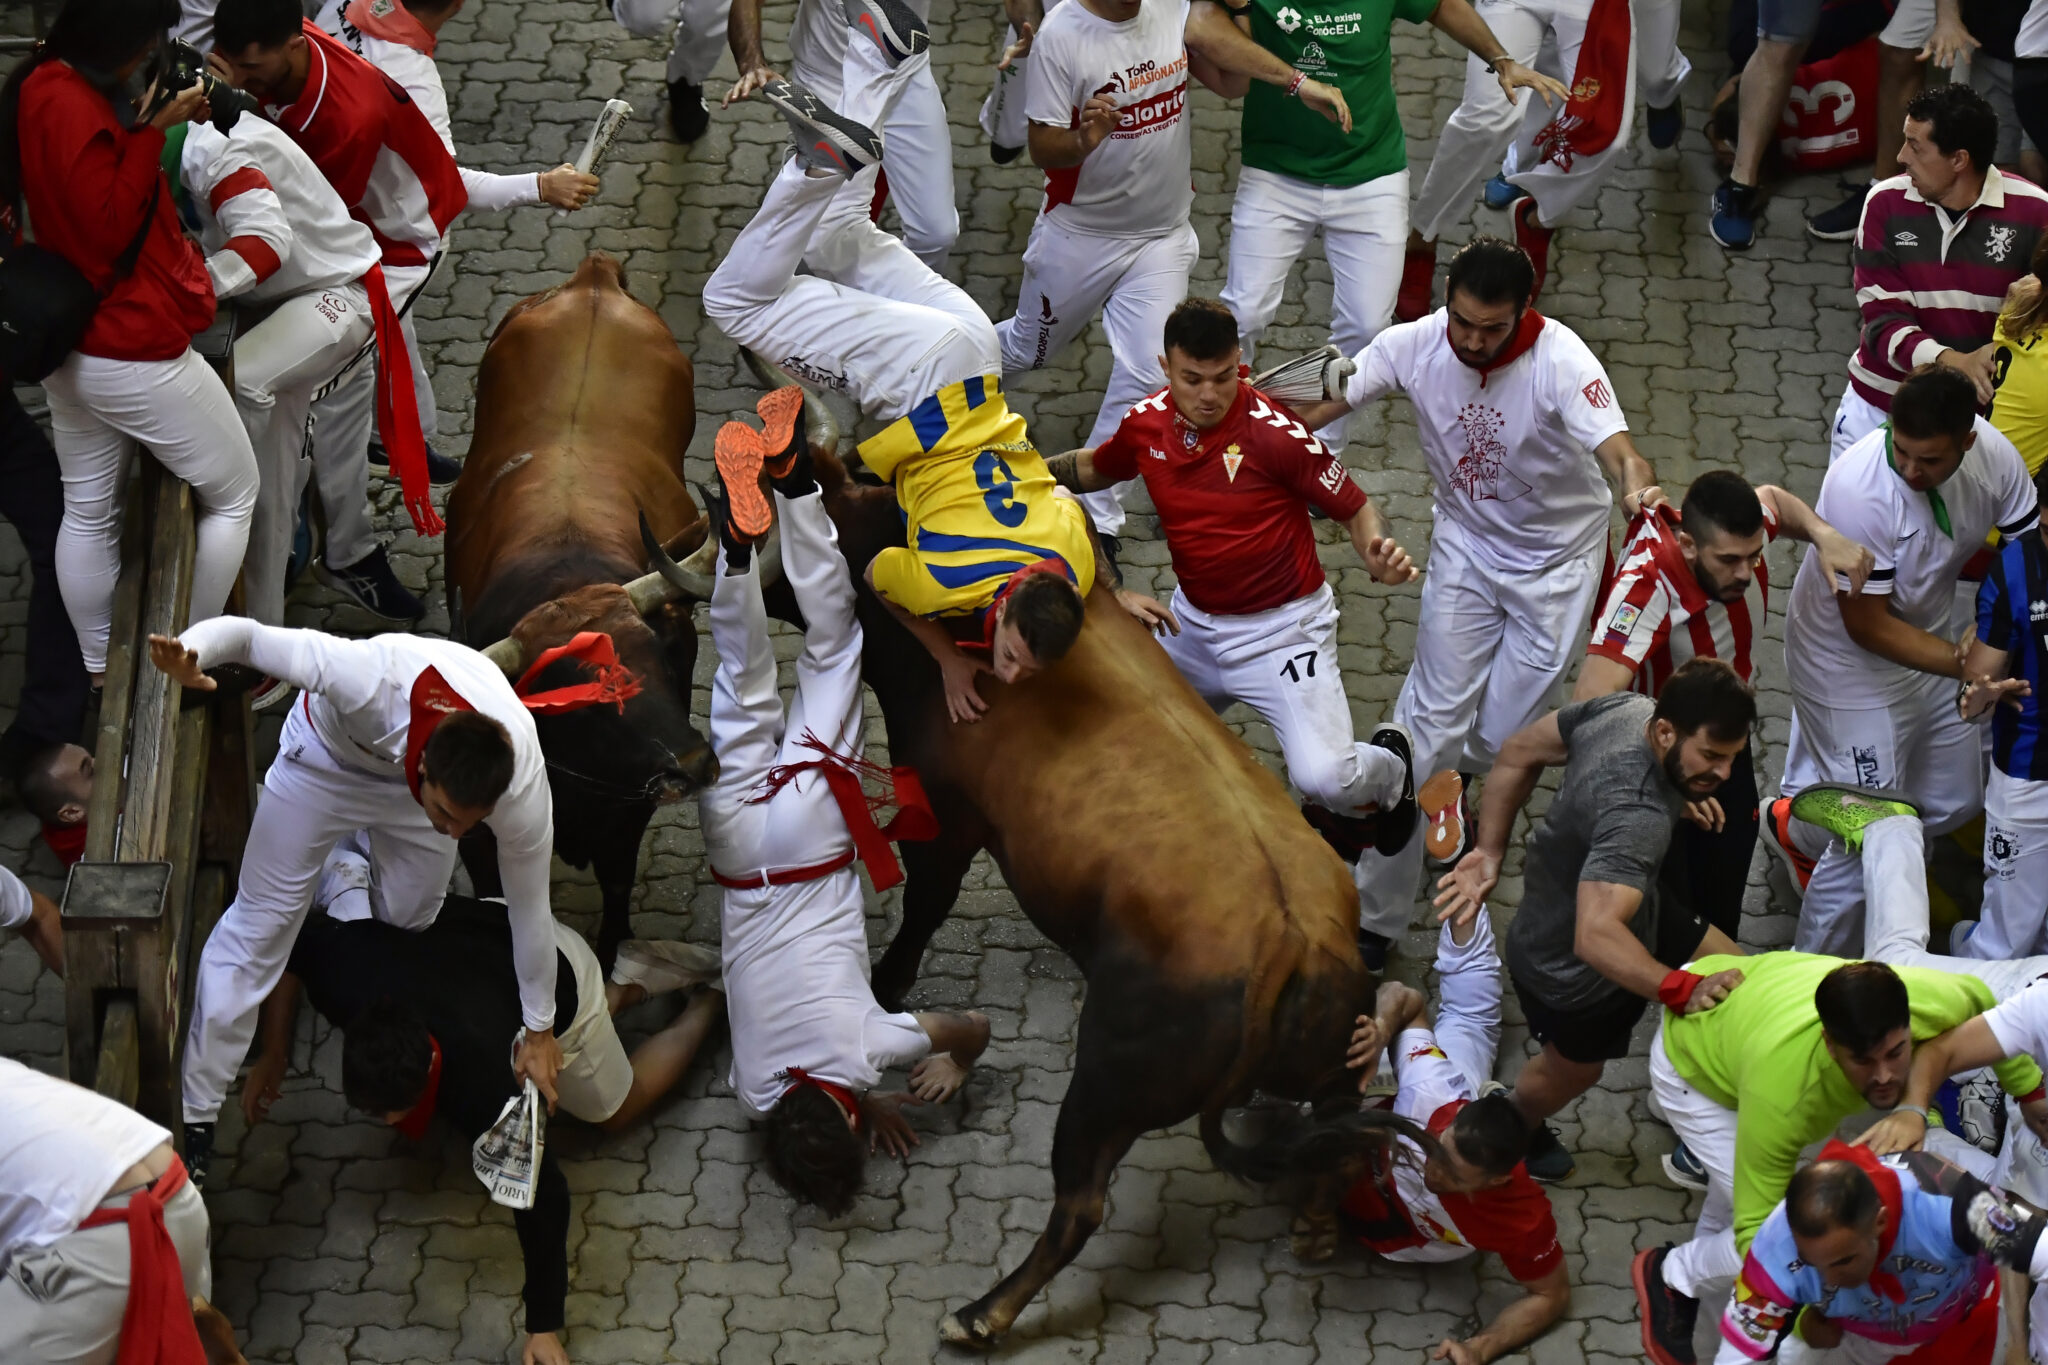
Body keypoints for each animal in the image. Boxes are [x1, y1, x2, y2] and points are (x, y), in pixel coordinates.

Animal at [448, 253, 720, 961]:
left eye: (663, 659)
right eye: (580, 695)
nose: (693, 764)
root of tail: (592, 279)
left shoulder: (626, 816)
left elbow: (617, 894)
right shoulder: (478, 838)